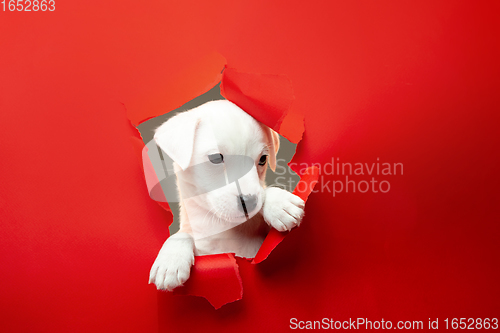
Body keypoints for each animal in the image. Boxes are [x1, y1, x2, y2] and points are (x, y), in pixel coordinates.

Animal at [148, 100, 304, 290]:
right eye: (216, 158)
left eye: (262, 159)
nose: (250, 202)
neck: (222, 227)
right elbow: (182, 234)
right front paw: (170, 260)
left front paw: (279, 203)